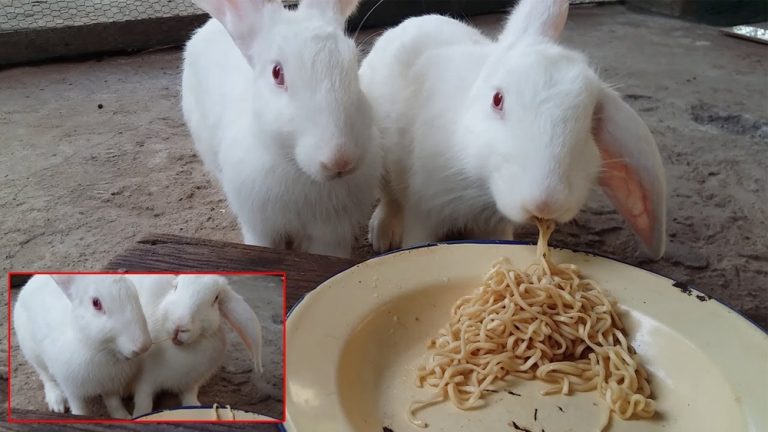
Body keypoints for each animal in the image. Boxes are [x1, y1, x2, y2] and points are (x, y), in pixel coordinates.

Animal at [13, 274, 151, 418]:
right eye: (96, 303)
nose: (143, 346)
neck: (100, 350)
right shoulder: (72, 389)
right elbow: (79, 407)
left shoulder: (109, 386)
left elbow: (113, 403)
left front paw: (124, 417)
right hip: (34, 354)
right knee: (46, 377)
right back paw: (57, 403)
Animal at [127, 275, 263, 418]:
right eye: (176, 287)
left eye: (215, 298)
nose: (179, 327)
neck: (181, 350)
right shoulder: (144, 381)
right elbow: (144, 401)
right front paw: (139, 415)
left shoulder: (190, 383)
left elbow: (190, 397)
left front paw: (196, 408)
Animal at [181, 0, 380, 258]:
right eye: (277, 73)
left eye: (354, 62)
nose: (341, 161)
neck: (299, 170)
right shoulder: (259, 225)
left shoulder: (331, 233)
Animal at [361, 0, 667, 259]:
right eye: (497, 99)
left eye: (593, 116)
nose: (545, 203)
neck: (479, 187)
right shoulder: (424, 212)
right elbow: (416, 239)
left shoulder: (494, 227)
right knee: (389, 199)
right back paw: (382, 235)